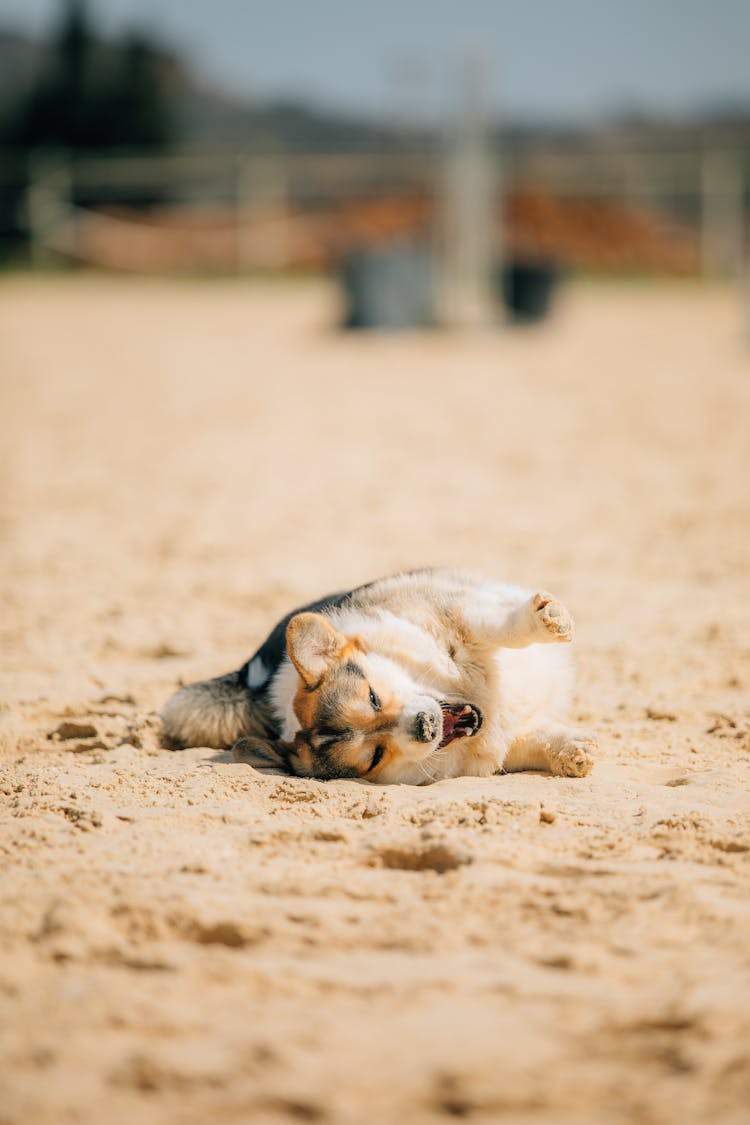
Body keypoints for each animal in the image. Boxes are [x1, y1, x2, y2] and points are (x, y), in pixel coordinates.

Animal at [161, 571, 593, 783]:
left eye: (373, 697)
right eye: (375, 756)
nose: (425, 725)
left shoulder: (457, 617)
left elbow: (498, 626)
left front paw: (547, 619)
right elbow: (532, 742)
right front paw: (572, 753)